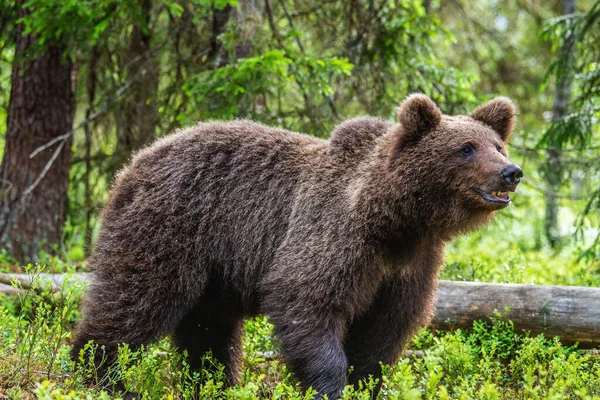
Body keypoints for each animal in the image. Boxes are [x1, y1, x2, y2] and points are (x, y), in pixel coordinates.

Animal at [69, 93, 520, 396]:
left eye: (497, 145)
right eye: (466, 148)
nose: (511, 172)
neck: (395, 222)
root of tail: (134, 162)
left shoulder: (409, 267)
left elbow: (384, 332)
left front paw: (364, 382)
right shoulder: (335, 237)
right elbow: (308, 301)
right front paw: (329, 385)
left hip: (215, 271)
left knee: (208, 329)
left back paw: (215, 382)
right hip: (172, 228)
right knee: (138, 297)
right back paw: (103, 375)